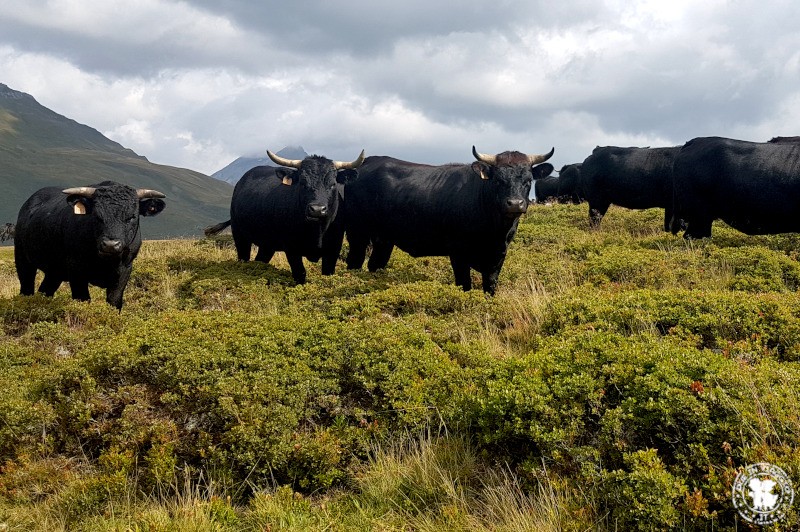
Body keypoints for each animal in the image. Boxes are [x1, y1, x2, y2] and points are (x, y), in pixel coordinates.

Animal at [14, 181, 166, 310]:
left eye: (132, 216)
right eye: (97, 215)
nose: (110, 245)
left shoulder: (125, 269)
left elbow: (114, 300)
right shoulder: (76, 269)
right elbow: (83, 299)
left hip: (54, 271)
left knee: (45, 290)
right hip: (23, 260)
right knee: (26, 288)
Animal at [344, 148, 556, 294]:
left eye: (528, 180)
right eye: (498, 180)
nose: (515, 204)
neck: (494, 231)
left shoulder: (499, 254)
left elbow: (490, 285)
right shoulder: (458, 251)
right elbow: (464, 284)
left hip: (384, 240)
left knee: (375, 264)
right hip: (357, 233)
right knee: (354, 261)